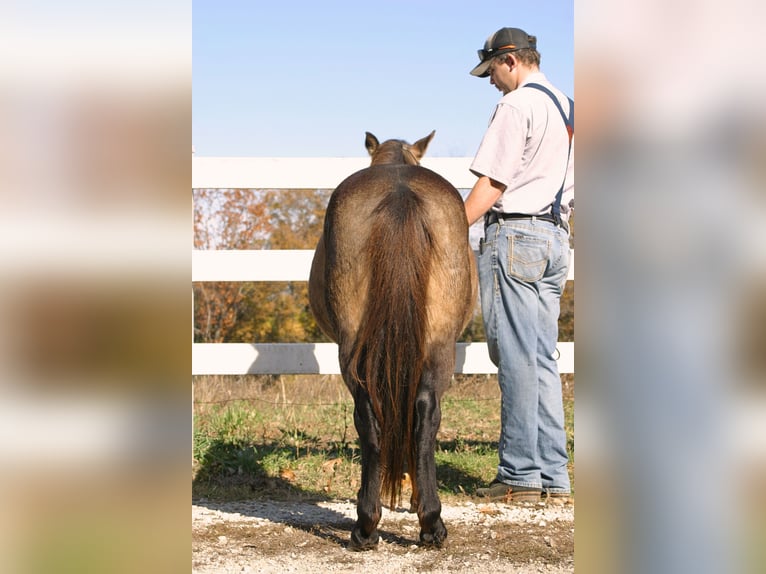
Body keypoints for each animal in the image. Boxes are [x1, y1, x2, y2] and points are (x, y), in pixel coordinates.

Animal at [308, 131, 477, 550]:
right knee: (416, 413)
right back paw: (412, 524)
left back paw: (382, 522)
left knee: (381, 414)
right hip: (431, 345)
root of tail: (399, 192)